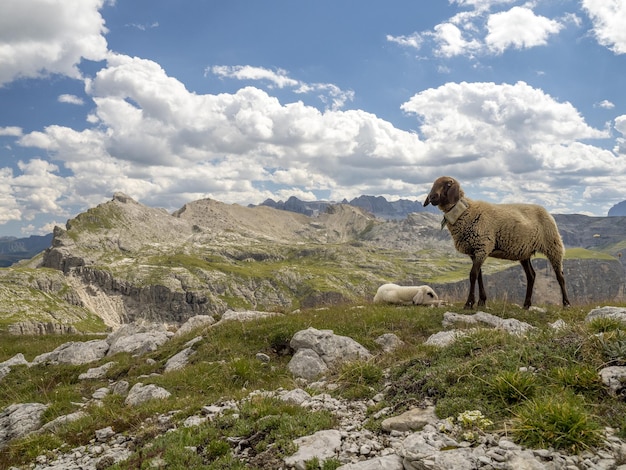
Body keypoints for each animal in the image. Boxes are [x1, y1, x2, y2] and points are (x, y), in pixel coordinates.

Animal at [422, 175, 568, 308]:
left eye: (447, 184)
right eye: (434, 184)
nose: (432, 197)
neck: (466, 211)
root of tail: (547, 212)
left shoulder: (482, 247)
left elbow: (472, 275)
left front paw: (469, 303)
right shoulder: (475, 251)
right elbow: (479, 275)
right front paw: (481, 301)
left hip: (553, 245)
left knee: (560, 276)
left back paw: (566, 303)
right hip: (524, 251)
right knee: (531, 276)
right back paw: (526, 304)